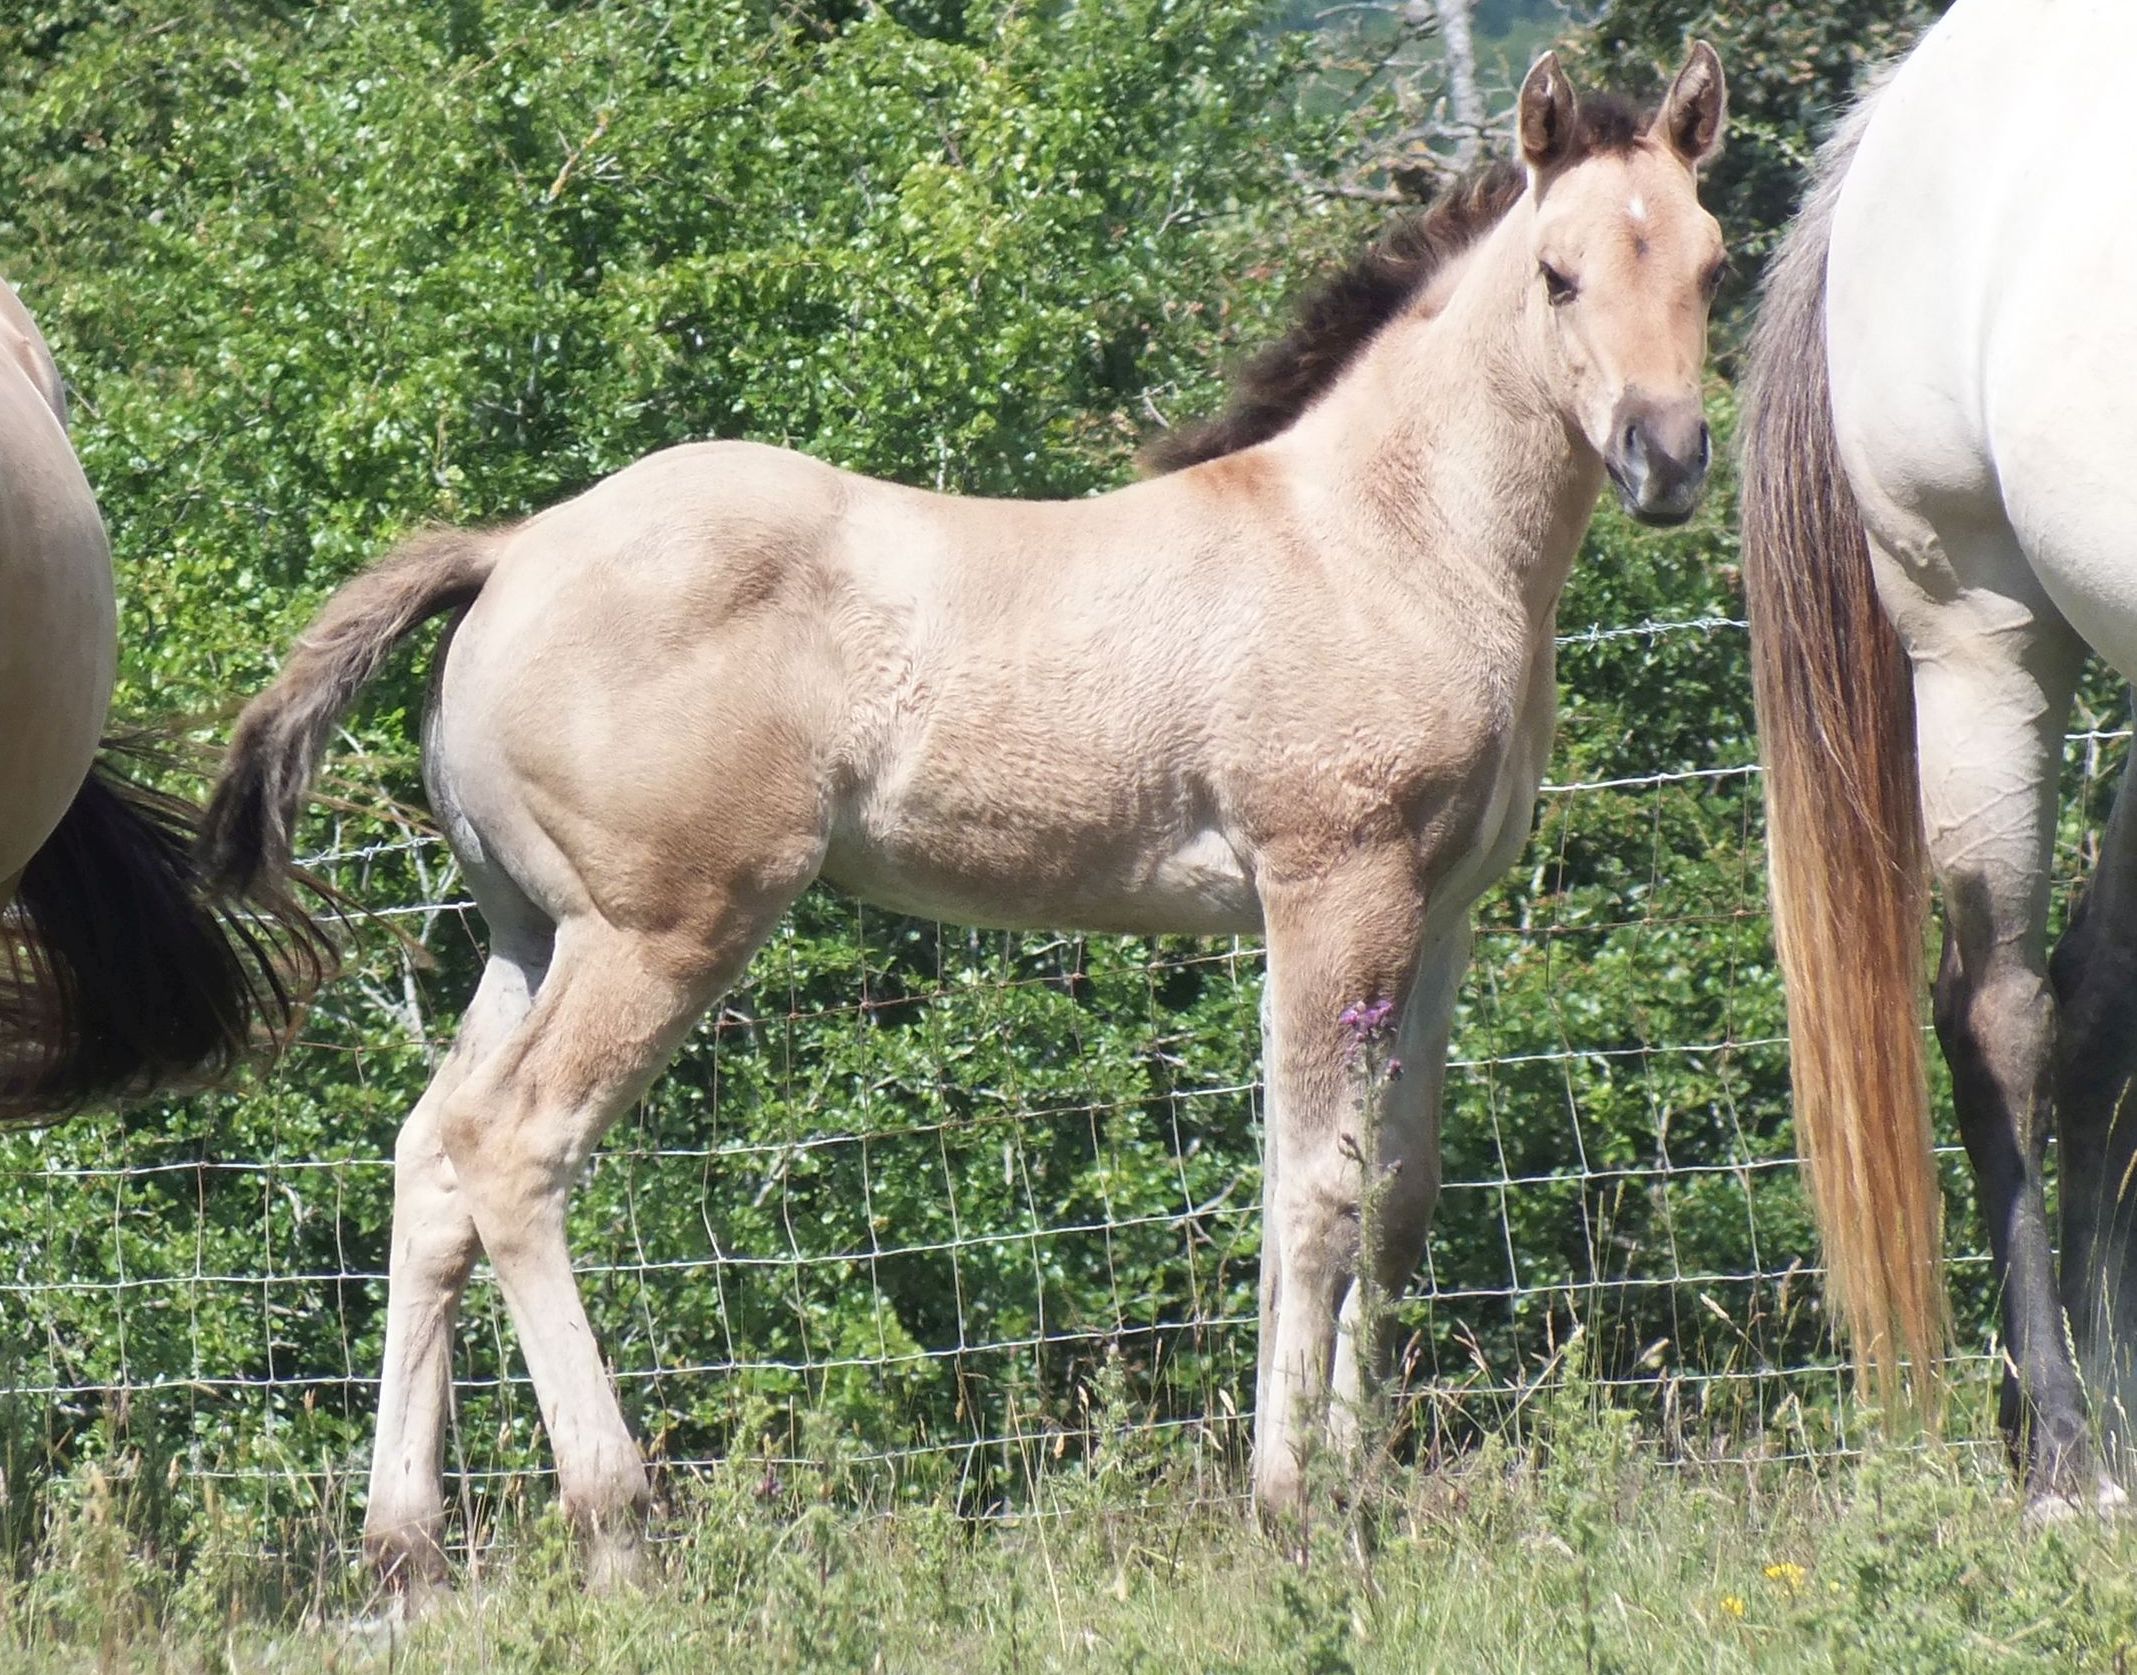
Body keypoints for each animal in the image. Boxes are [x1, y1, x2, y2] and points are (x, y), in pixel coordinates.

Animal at [201, 45, 1729, 1589]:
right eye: (1555, 275)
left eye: (1712, 263)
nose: (1665, 460)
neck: (1383, 537)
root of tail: (510, 551)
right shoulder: (1329, 886)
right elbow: (1314, 1191)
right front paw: (1289, 1496)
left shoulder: (1443, 909)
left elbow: (1402, 1193)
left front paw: (1362, 1474)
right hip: (661, 928)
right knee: (516, 1150)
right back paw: (616, 1524)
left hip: (529, 932)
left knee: (430, 1155)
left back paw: (403, 1545)